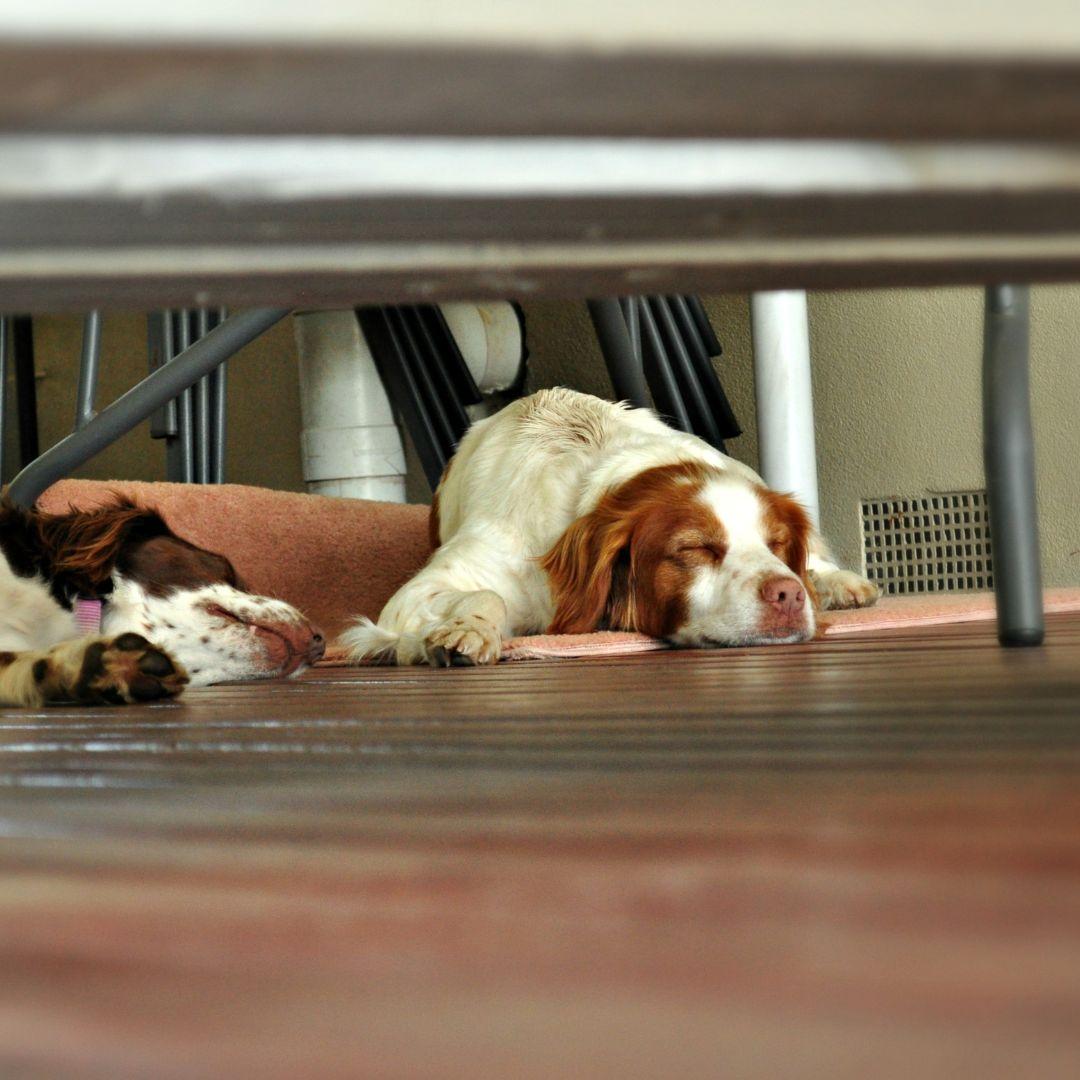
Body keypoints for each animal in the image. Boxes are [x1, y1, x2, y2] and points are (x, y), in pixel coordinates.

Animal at [345, 388, 876, 665]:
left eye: (777, 544)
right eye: (695, 549)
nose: (788, 595)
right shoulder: (427, 586)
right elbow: (485, 595)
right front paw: (464, 632)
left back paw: (839, 583)